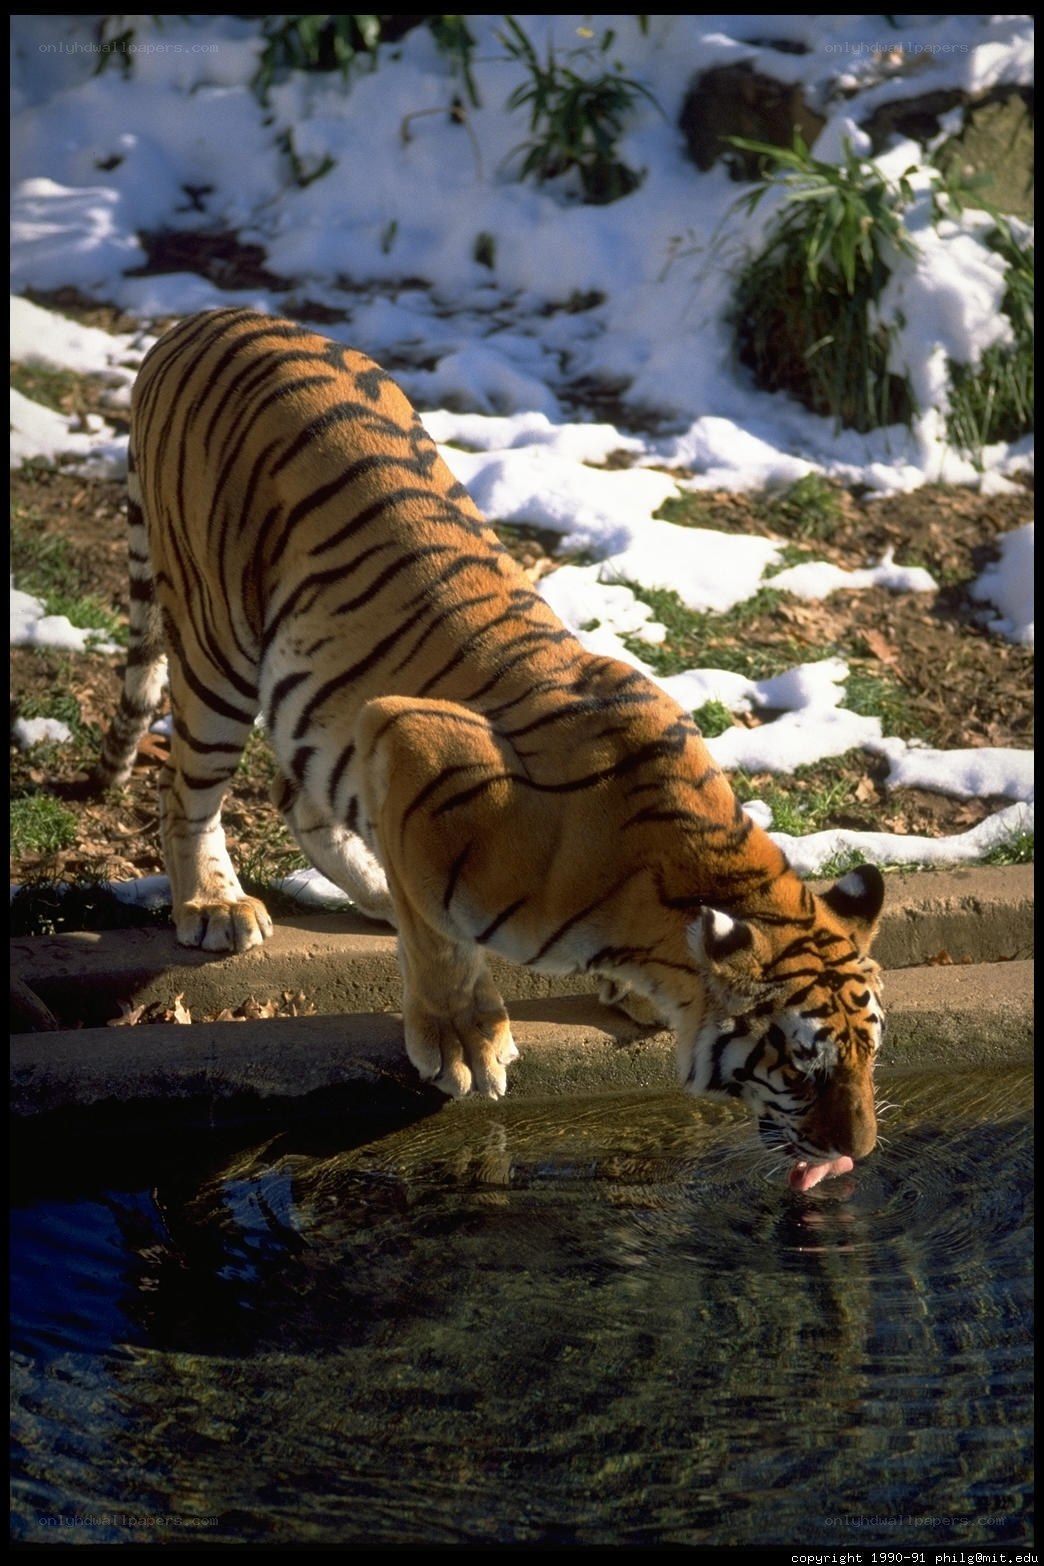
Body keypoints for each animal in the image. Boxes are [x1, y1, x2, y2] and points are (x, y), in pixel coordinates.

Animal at [95, 307, 885, 1184]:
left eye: (872, 1054)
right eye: (803, 1066)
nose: (858, 1153)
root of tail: (201, 318)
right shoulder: (410, 736)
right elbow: (444, 945)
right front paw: (464, 1044)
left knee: (299, 791)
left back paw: (374, 890)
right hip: (218, 640)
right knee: (187, 793)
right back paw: (217, 904)